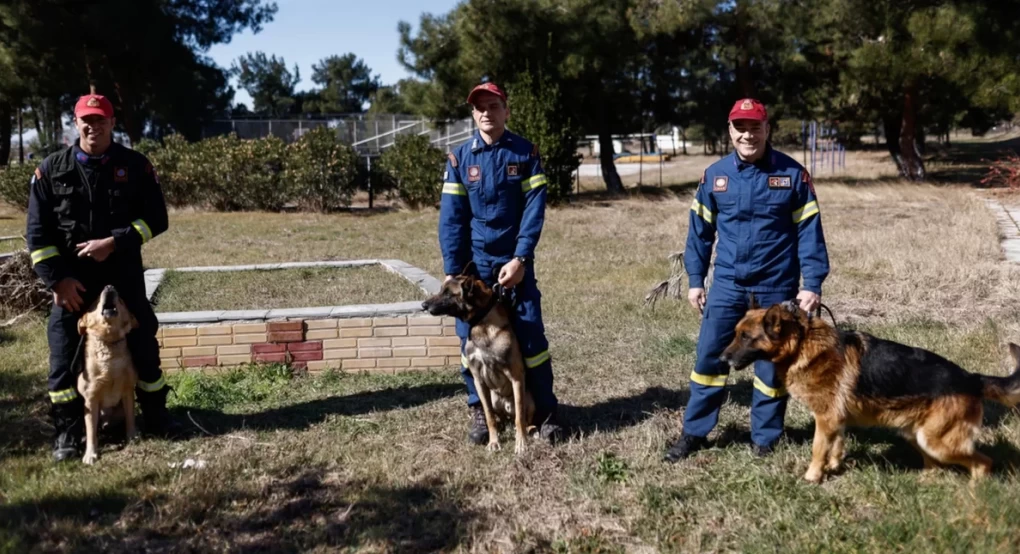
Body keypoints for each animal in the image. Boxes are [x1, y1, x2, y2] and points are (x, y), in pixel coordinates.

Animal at [77, 285, 140, 463]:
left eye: (121, 300)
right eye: (96, 300)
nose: (109, 287)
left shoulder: (127, 391)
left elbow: (131, 418)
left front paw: (132, 437)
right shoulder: (91, 399)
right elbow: (91, 431)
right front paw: (90, 454)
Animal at [420, 265, 538, 455]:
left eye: (448, 294)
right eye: (441, 290)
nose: (423, 305)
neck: (481, 323)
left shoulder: (516, 378)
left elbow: (520, 417)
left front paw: (521, 443)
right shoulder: (478, 380)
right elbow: (489, 416)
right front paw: (494, 441)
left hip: (529, 398)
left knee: (524, 419)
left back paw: (530, 430)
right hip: (493, 398)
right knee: (500, 417)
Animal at [718, 301, 1020, 483]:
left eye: (746, 337)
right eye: (735, 333)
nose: (722, 358)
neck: (802, 344)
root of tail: (971, 378)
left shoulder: (825, 419)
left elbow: (818, 449)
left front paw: (812, 477)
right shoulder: (836, 421)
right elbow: (836, 445)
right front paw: (833, 466)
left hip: (937, 441)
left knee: (983, 463)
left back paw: (973, 494)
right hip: (916, 435)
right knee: (936, 466)